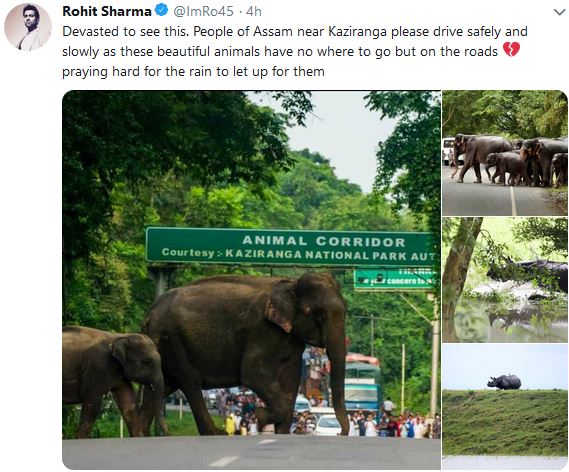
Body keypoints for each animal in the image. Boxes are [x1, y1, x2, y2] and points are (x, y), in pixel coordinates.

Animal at [139, 272, 350, 436]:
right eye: (318, 314)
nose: (339, 433)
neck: (291, 283)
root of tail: (149, 314)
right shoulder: (262, 329)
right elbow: (252, 371)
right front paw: (260, 415)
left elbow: (291, 379)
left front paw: (280, 432)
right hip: (172, 340)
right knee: (190, 383)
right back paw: (216, 433)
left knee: (159, 387)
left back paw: (140, 432)